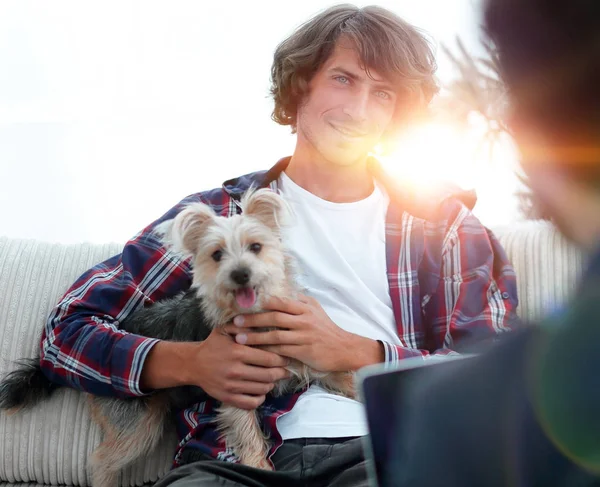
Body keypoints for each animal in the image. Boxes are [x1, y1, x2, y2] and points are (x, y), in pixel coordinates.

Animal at [0, 189, 356, 486]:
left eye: (256, 247)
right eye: (216, 255)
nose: (240, 273)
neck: (257, 319)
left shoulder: (313, 358)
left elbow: (347, 376)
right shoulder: (237, 392)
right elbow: (249, 436)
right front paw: (259, 465)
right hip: (139, 423)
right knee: (100, 461)